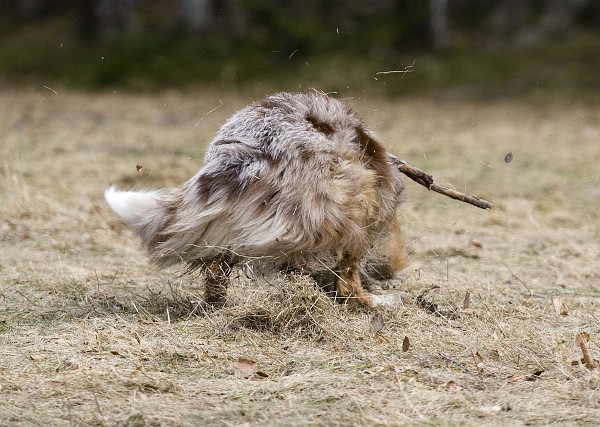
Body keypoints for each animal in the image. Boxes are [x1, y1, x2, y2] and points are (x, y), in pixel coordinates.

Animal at [105, 92, 406, 310]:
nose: (394, 270)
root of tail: (251, 150)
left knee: (216, 268)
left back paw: (215, 304)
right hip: (351, 204)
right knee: (348, 283)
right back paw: (377, 302)